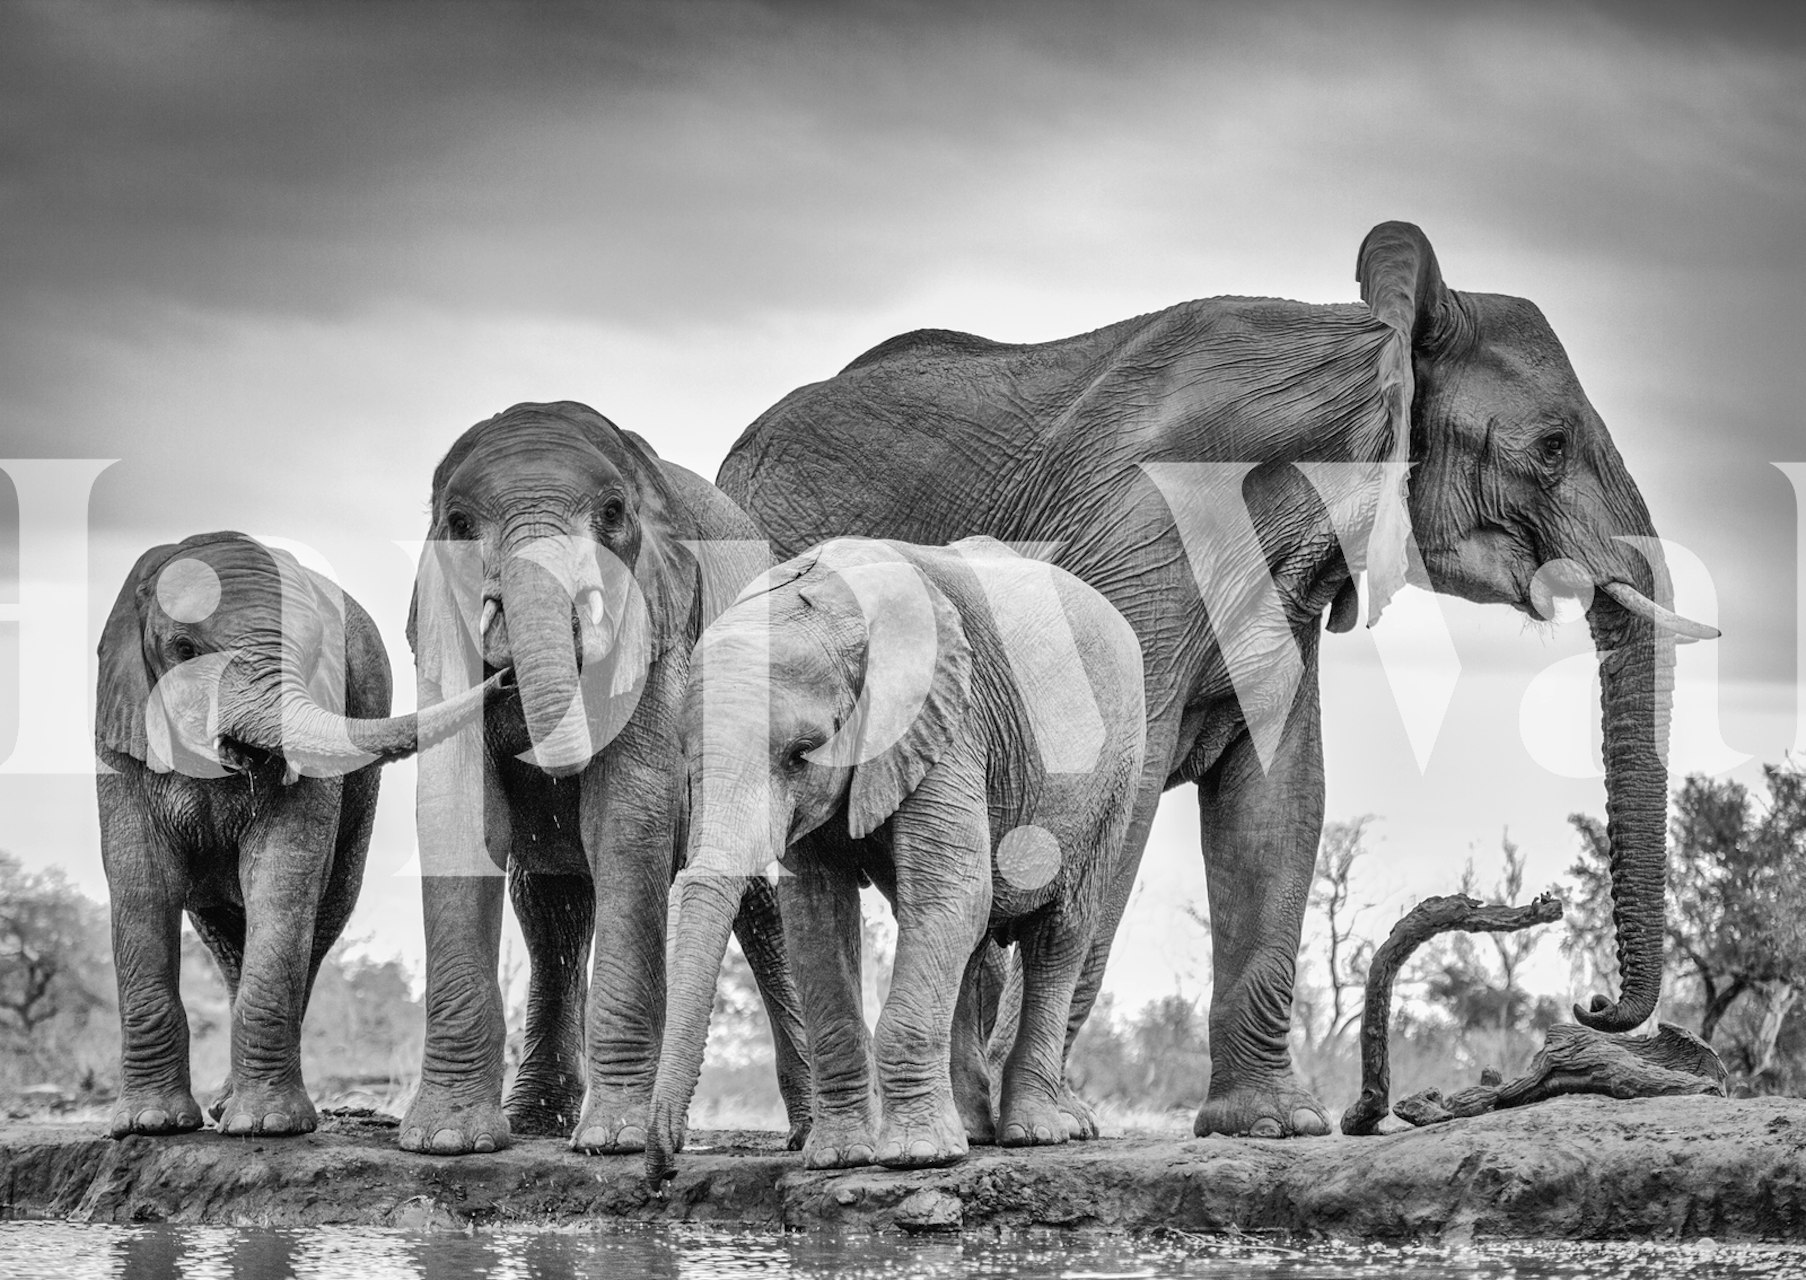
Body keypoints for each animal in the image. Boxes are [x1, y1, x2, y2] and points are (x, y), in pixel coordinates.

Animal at [95, 530, 495, 1138]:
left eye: (308, 655)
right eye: (183, 650)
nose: (505, 672)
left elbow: (283, 876)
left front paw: (266, 1127)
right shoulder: (119, 730)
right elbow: (141, 880)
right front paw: (149, 1124)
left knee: (321, 913)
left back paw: (237, 1112)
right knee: (222, 934)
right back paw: (218, 1107)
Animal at [399, 400, 809, 1156]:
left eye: (614, 514)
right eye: (459, 526)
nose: (506, 679)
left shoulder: (662, 620)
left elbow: (625, 815)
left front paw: (613, 1143)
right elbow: (460, 813)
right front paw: (445, 1142)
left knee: (761, 908)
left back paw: (810, 1133)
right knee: (551, 908)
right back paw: (534, 1122)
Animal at [644, 536, 1145, 1179]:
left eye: (801, 754)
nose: (664, 1170)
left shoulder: (948, 722)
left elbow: (951, 889)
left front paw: (915, 1159)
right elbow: (816, 914)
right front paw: (838, 1158)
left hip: (1115, 776)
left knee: (1060, 933)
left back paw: (1032, 1135)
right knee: (971, 940)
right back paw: (975, 1132)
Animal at [715, 221, 1718, 1140]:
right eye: (1551, 447)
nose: (1593, 1005)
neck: (1365, 343)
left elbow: (1283, 798)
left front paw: (1272, 1125)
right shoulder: (1141, 541)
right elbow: (1120, 789)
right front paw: (1053, 1123)